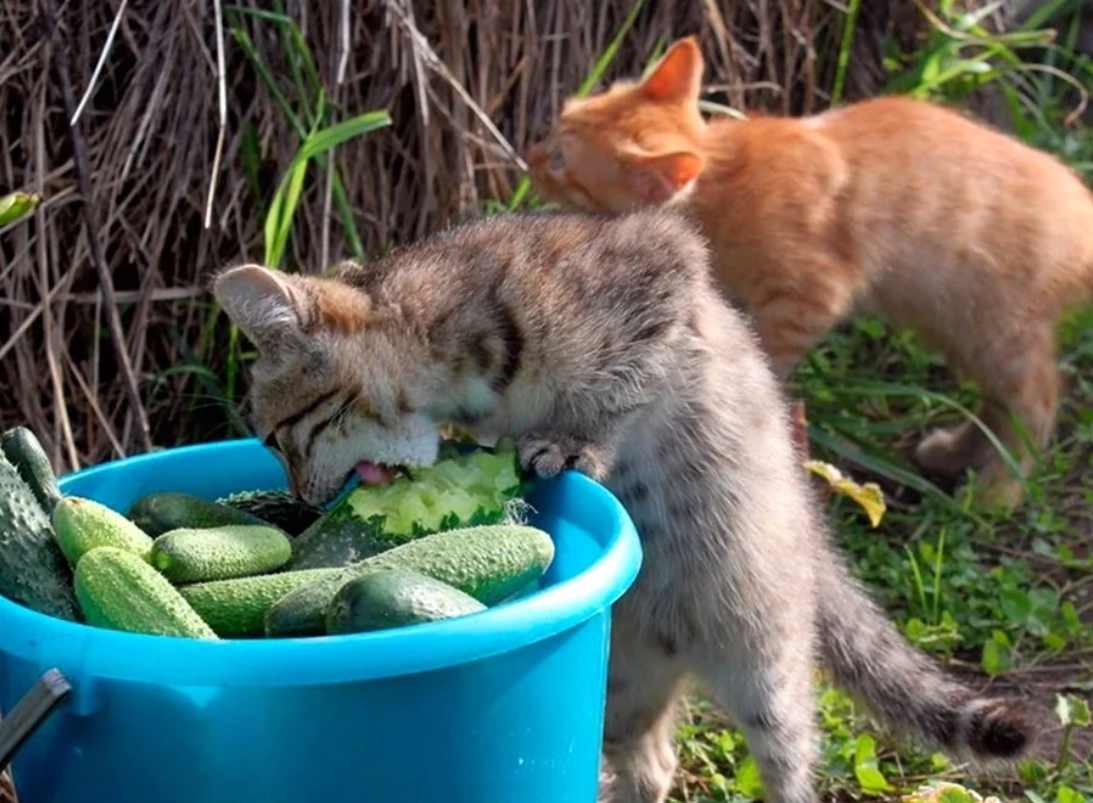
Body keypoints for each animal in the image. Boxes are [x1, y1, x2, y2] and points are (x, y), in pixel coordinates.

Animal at [210, 208, 1031, 803]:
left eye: (277, 436)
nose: (301, 499)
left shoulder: (667, 268)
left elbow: (618, 388)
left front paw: (573, 440)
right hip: (623, 691)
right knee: (654, 764)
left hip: (765, 669)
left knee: (788, 762)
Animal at [524, 34, 1093, 509]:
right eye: (557, 121)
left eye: (561, 161)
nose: (527, 155)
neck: (725, 182)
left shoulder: (811, 296)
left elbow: (768, 353)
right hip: (959, 329)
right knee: (996, 404)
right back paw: (955, 452)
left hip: (998, 334)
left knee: (1038, 399)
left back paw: (1000, 490)